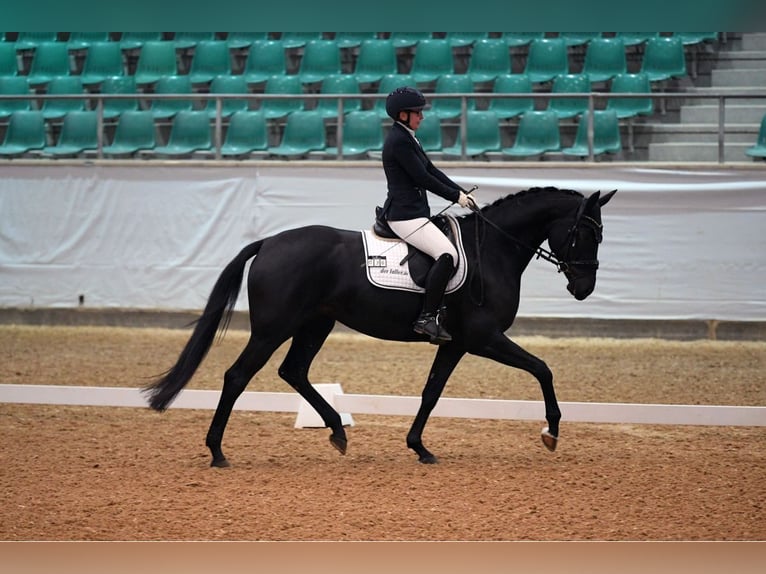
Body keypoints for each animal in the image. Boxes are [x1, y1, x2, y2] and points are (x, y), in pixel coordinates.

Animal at [144, 186, 617, 466]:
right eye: (586, 233)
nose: (584, 288)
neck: (493, 251)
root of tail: (269, 242)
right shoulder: (484, 337)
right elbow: (542, 369)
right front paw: (551, 431)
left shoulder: (456, 343)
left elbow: (431, 391)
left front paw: (419, 447)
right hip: (273, 328)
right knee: (238, 375)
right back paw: (217, 451)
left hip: (315, 324)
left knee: (293, 371)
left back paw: (337, 431)